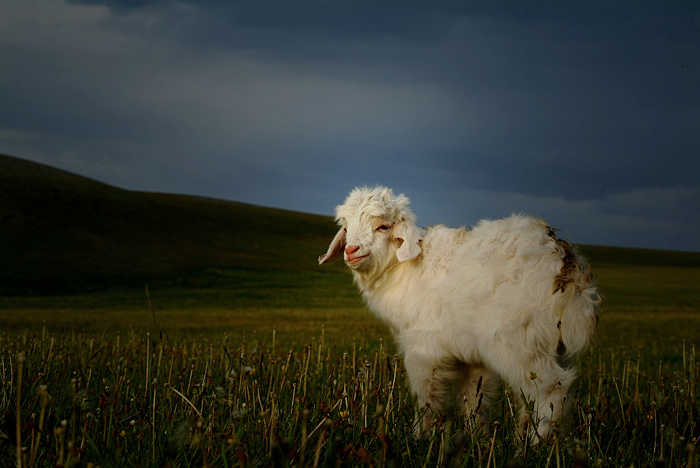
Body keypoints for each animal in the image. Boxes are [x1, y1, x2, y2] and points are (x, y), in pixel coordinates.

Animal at [320, 186, 600, 438]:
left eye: (383, 227)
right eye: (346, 228)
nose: (351, 250)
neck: (403, 270)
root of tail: (564, 263)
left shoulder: (424, 351)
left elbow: (427, 399)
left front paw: (421, 438)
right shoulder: (472, 356)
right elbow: (473, 398)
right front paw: (476, 439)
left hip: (520, 342)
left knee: (552, 388)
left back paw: (534, 445)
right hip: (552, 346)